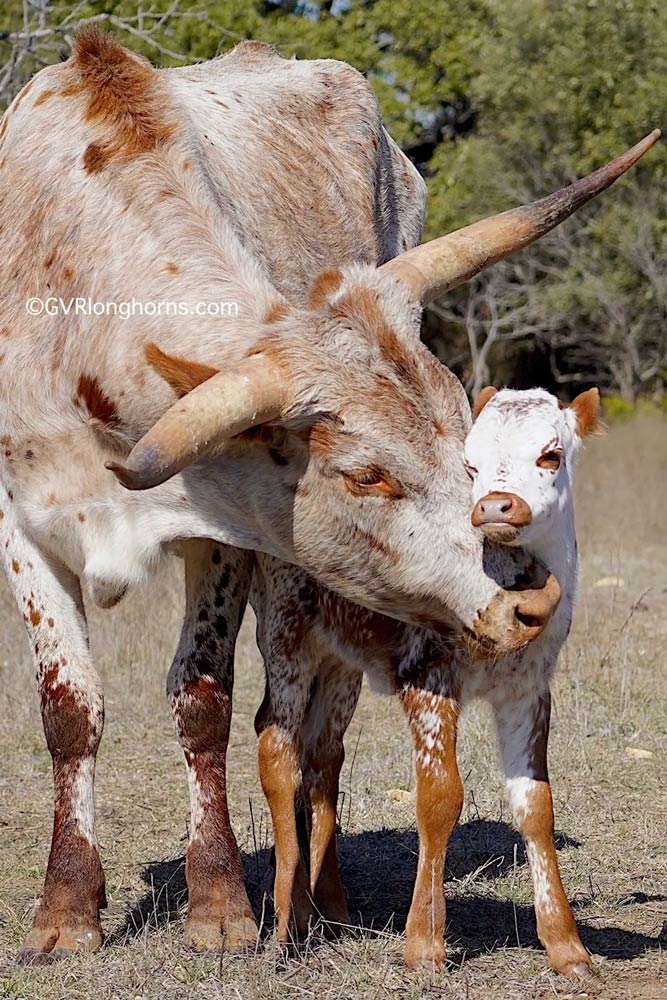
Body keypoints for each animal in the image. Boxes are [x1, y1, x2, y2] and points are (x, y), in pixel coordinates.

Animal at [0, 29, 656, 960]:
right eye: (365, 473)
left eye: (464, 446)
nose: (526, 603)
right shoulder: (22, 519)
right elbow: (69, 709)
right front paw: (65, 910)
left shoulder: (229, 533)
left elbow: (202, 701)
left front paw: (219, 903)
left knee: (324, 737)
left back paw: (325, 899)